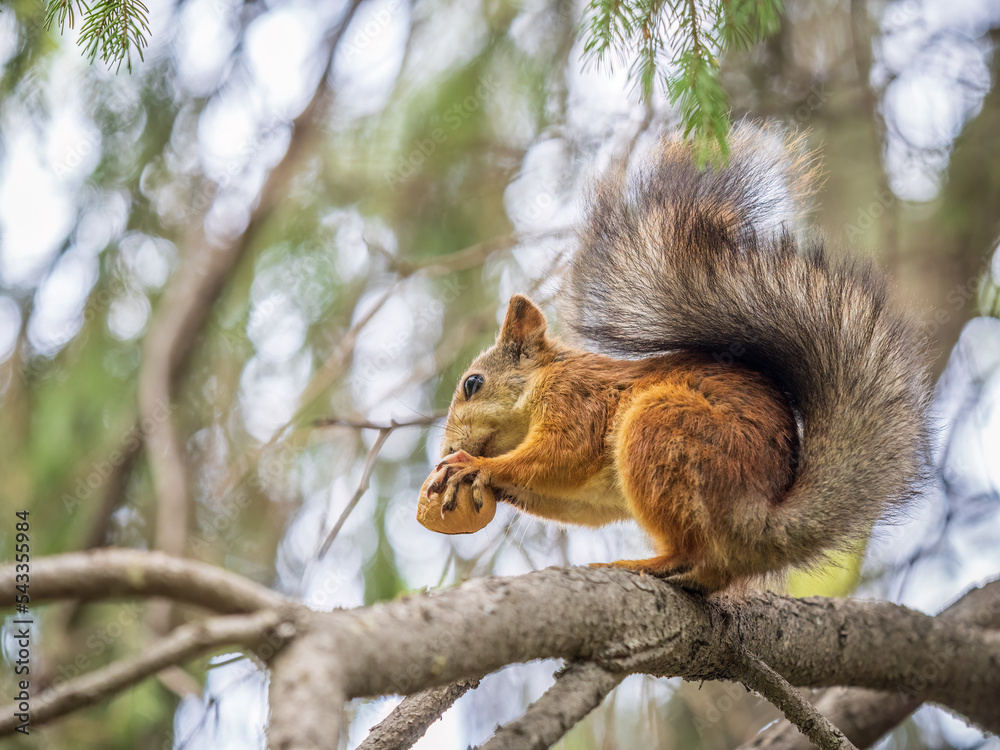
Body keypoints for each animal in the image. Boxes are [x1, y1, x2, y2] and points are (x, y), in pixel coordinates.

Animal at [428, 126, 928, 596]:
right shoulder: (593, 491)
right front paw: (485, 480)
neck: (544, 380)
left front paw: (479, 466)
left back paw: (647, 564)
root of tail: (759, 521)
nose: (448, 450)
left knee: (694, 552)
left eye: (472, 384)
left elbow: (562, 454)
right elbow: (576, 500)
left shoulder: (576, 401)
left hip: (666, 430)